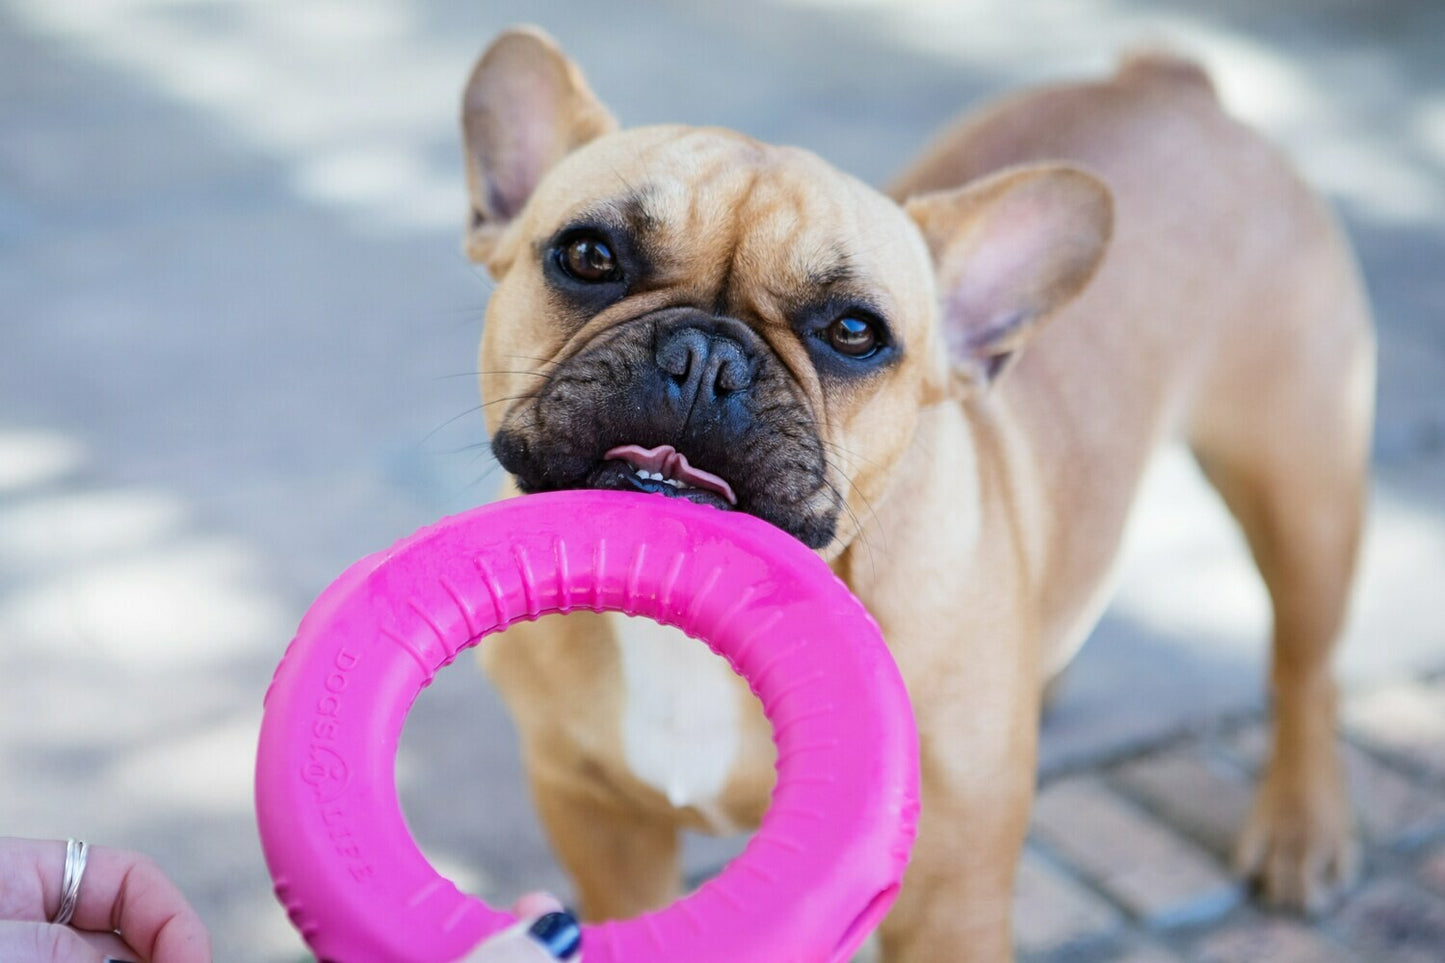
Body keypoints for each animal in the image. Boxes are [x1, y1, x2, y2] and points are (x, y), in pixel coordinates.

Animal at [456, 26, 1369, 954]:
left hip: (1301, 489)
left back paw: (1301, 829)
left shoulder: (949, 898)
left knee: (1305, 664)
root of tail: (1173, 82)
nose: (704, 355)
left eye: (855, 332)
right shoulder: (596, 815)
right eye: (588, 256)